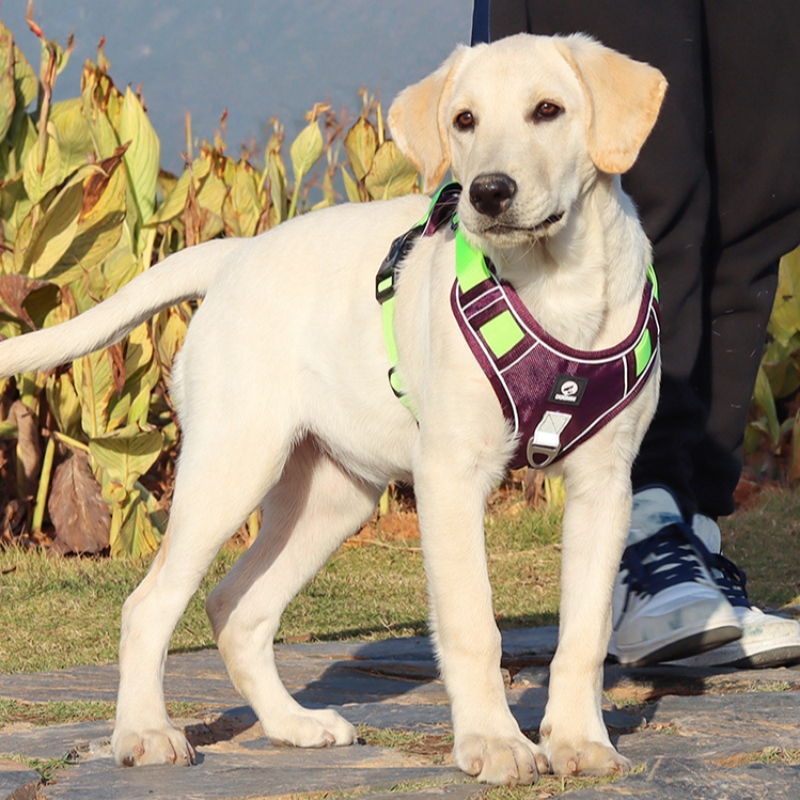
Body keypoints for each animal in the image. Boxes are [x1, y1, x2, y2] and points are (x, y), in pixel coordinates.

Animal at [0, 34, 664, 784]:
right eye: (463, 120)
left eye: (548, 110)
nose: (489, 192)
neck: (554, 284)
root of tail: (236, 254)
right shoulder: (451, 475)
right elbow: (473, 624)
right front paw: (494, 742)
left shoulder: (604, 484)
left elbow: (585, 630)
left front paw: (579, 741)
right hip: (231, 468)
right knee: (150, 605)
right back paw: (145, 732)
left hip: (331, 495)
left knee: (235, 607)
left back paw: (292, 725)